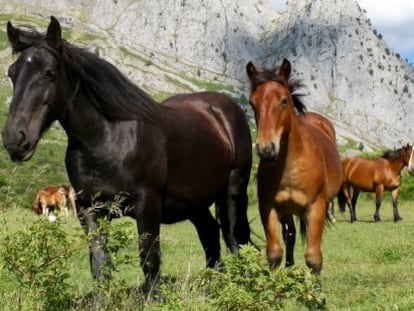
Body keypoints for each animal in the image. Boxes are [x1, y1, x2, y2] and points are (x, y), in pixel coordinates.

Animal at [2, 17, 252, 298]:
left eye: (49, 73)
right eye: (12, 73)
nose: (15, 140)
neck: (109, 139)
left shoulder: (147, 204)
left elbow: (149, 258)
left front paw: (154, 299)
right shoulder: (89, 209)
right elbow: (99, 262)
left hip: (231, 193)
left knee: (234, 239)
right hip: (194, 203)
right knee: (210, 235)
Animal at [246, 59, 342, 276]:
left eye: (283, 101)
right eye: (252, 103)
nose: (266, 149)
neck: (290, 167)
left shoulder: (316, 208)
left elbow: (314, 258)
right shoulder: (269, 207)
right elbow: (274, 253)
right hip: (287, 211)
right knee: (290, 235)